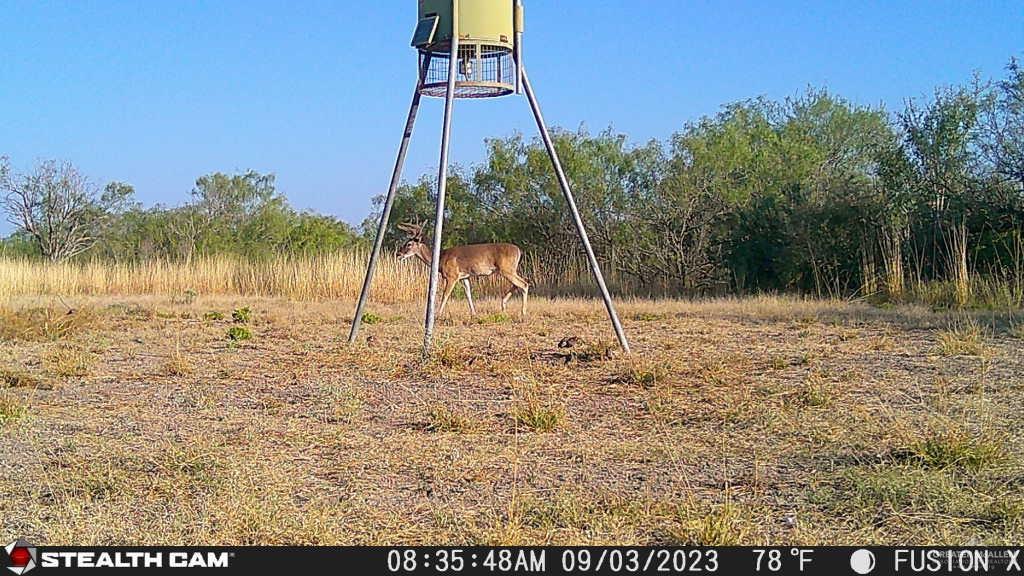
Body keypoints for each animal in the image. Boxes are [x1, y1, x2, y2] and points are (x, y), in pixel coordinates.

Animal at [395, 220, 532, 317]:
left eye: (409, 244)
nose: (398, 254)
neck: (440, 259)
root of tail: (519, 250)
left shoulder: (452, 276)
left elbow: (445, 294)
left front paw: (438, 314)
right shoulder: (464, 277)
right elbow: (468, 294)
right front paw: (474, 313)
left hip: (506, 269)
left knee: (524, 284)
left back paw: (523, 312)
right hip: (509, 269)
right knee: (521, 282)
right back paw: (503, 304)